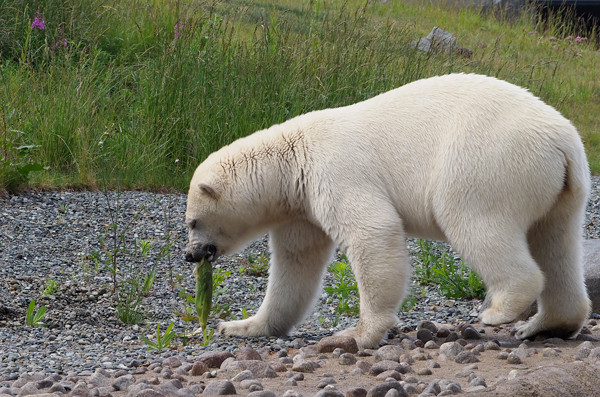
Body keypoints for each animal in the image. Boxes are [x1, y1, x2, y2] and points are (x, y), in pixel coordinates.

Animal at [186, 72, 592, 344]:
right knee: (556, 243)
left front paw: (357, 333)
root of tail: (563, 141)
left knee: (475, 223)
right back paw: (548, 323)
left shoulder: (335, 171)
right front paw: (239, 326)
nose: (191, 255)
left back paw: (499, 310)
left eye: (191, 222)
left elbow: (373, 231)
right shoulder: (300, 208)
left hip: (486, 163)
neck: (291, 158)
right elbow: (296, 263)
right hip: (564, 191)